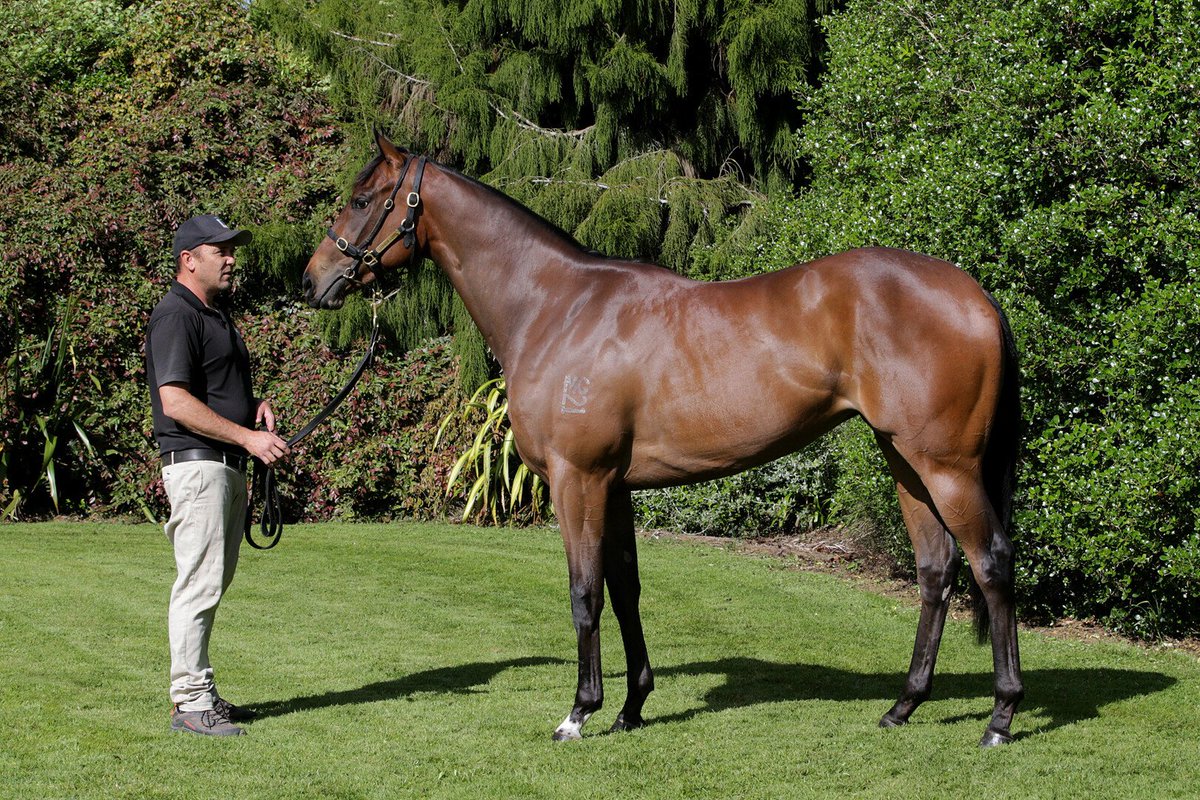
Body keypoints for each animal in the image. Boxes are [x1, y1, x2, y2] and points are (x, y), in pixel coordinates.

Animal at [303, 133, 1024, 748]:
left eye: (363, 199)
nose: (313, 280)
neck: (556, 307)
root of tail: (975, 295)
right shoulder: (614, 486)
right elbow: (625, 590)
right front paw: (630, 708)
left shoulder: (578, 479)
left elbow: (584, 593)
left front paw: (579, 713)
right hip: (904, 462)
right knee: (936, 570)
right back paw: (903, 706)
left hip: (947, 466)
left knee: (990, 563)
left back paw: (1000, 716)